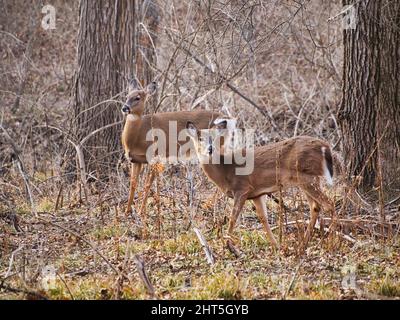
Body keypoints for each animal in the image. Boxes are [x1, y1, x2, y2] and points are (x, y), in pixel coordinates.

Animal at [120, 78, 233, 232]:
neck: (138, 135)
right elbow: (133, 184)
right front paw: (126, 213)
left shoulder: (157, 156)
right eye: (126, 96)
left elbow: (148, 184)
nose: (125, 108)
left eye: (137, 97)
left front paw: (141, 212)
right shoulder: (135, 160)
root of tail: (228, 120)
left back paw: (210, 206)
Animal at [186, 120, 336, 252]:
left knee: (329, 204)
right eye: (200, 138)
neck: (225, 170)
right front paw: (276, 246)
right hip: (305, 180)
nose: (210, 149)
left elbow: (233, 218)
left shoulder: (242, 188)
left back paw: (330, 242)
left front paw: (228, 245)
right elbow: (263, 219)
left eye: (214, 138)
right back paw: (304, 244)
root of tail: (325, 146)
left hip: (307, 177)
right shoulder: (256, 194)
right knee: (315, 207)